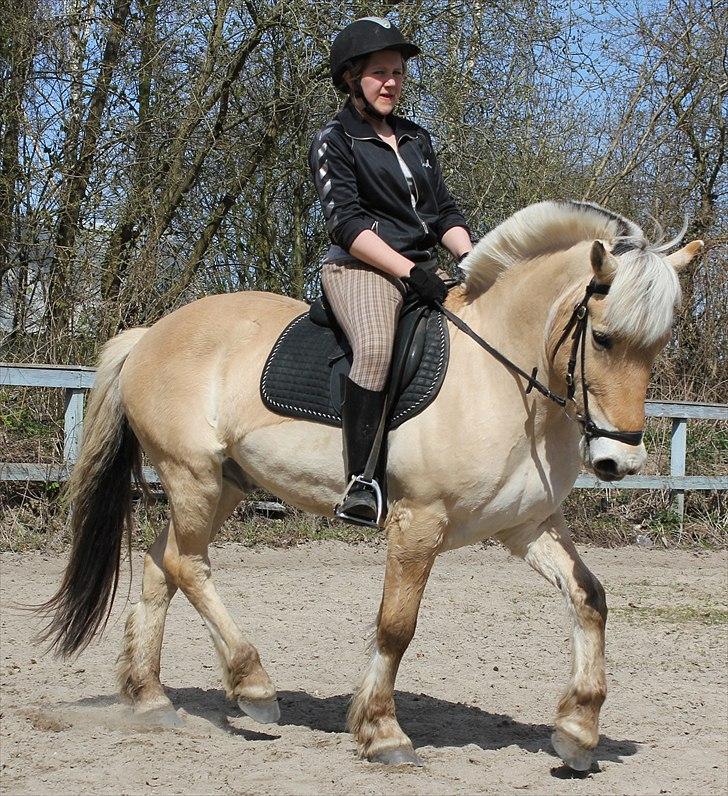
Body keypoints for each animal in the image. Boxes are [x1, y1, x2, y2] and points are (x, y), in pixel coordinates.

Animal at [37, 200, 702, 770]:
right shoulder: (418, 521)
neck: (505, 378)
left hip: (223, 485)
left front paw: (578, 730)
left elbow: (590, 598)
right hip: (191, 475)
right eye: (604, 338)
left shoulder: (526, 525)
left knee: (163, 566)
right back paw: (253, 686)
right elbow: (396, 625)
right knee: (189, 566)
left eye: (658, 344)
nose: (620, 461)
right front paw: (383, 732)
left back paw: (152, 698)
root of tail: (150, 333)